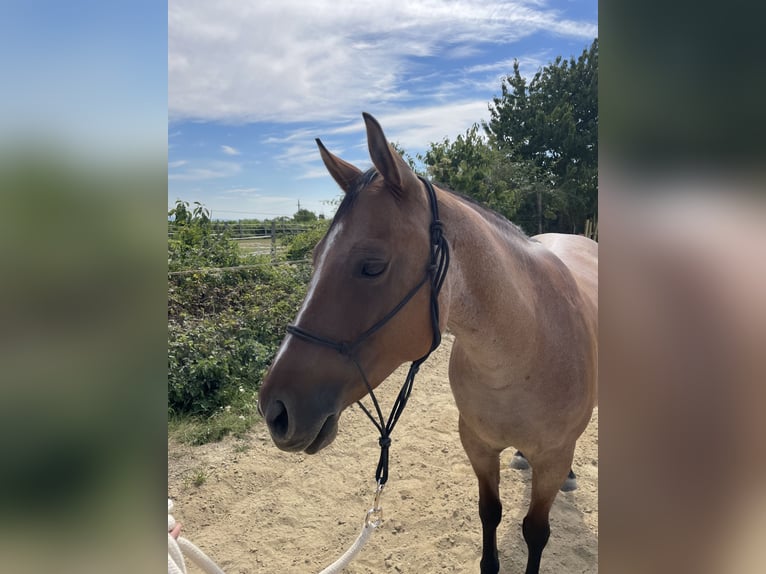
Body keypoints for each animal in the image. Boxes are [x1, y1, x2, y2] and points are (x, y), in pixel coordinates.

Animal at [257, 113, 598, 574]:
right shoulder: (477, 447)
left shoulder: (553, 457)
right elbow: (489, 514)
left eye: (372, 266)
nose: (275, 410)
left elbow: (535, 532)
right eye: (314, 258)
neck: (523, 350)